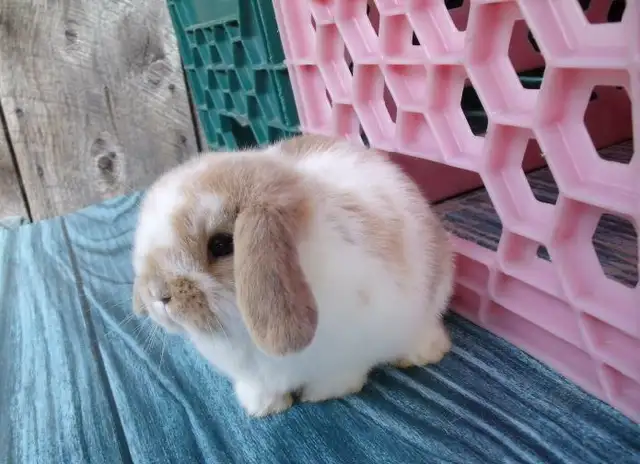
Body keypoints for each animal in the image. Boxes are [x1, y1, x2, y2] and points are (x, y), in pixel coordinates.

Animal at [131, 134, 455, 417]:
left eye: (221, 245)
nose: (158, 295)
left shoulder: (349, 352)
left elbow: (340, 376)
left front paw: (320, 395)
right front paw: (261, 408)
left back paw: (422, 353)